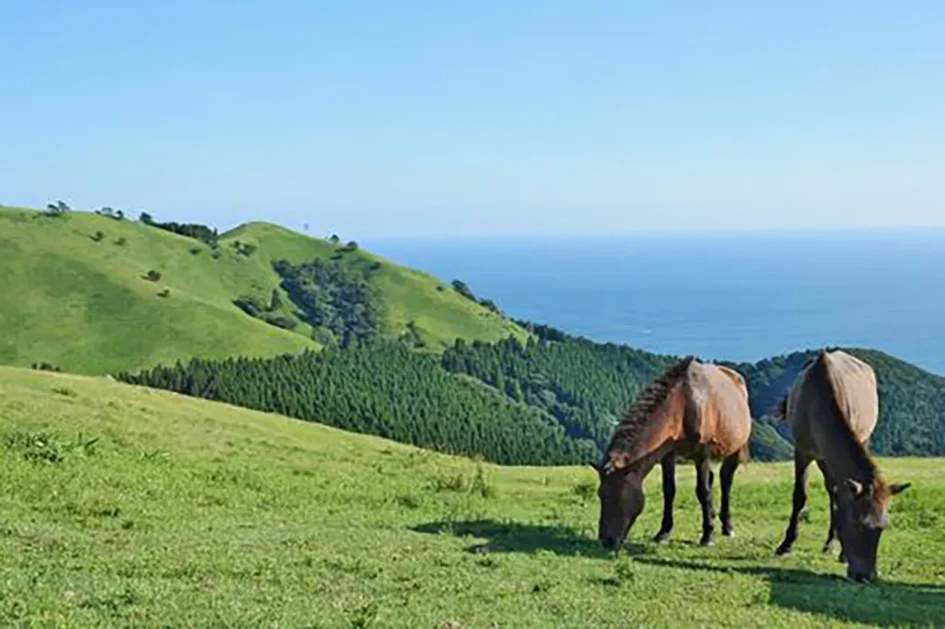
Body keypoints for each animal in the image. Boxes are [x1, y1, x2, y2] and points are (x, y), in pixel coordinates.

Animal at [592, 356, 752, 552]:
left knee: (726, 481)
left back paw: (727, 526)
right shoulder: (667, 455)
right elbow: (669, 491)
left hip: (734, 450)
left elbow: (703, 492)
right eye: (601, 495)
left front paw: (707, 536)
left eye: (618, 496)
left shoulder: (701, 454)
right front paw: (663, 533)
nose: (606, 541)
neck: (684, 402)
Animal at [776, 346, 908, 580]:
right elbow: (800, 495)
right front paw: (786, 544)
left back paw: (831, 542)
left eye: (883, 526)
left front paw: (841, 551)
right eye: (858, 523)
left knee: (834, 491)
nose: (866, 576)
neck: (818, 405)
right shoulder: (802, 450)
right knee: (832, 490)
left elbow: (840, 496)